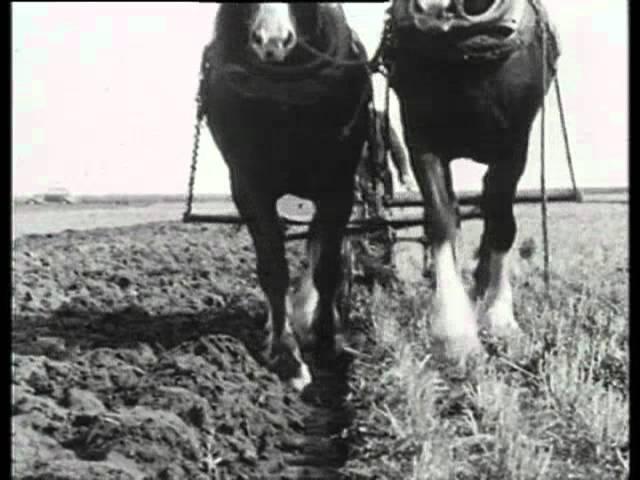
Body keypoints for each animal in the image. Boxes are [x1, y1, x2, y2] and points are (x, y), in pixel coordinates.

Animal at [199, 2, 370, 390]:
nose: (272, 41)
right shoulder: (249, 187)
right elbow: (274, 270)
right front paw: (285, 354)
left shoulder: (339, 186)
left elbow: (327, 267)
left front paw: (327, 341)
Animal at [384, 0, 560, 364]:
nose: (435, 11)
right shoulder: (421, 139)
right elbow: (440, 220)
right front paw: (455, 334)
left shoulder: (514, 145)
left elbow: (502, 224)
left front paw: (501, 319)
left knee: (492, 214)